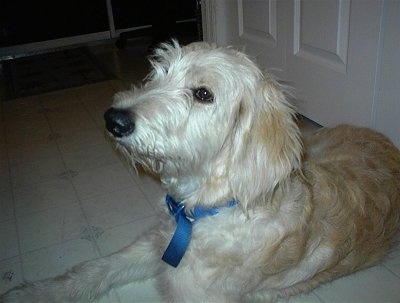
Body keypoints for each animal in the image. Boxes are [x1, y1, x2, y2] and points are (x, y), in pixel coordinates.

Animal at [0, 41, 400, 303]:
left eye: (203, 94)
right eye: (158, 73)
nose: (113, 120)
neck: (207, 208)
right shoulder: (153, 244)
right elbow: (94, 269)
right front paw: (33, 293)